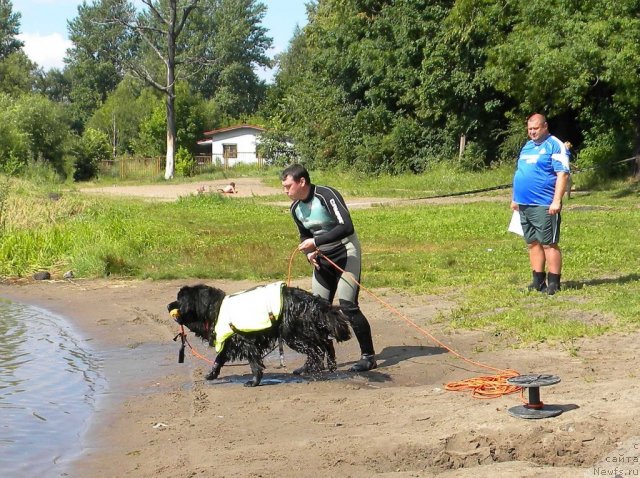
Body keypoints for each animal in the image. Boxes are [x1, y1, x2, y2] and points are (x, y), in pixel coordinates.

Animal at [166, 282, 350, 386]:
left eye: (179, 300)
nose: (168, 306)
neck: (214, 309)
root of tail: (314, 302)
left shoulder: (245, 342)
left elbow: (254, 364)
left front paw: (254, 382)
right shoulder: (229, 341)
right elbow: (218, 359)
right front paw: (211, 374)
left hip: (294, 335)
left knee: (316, 351)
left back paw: (310, 369)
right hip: (306, 331)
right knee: (326, 344)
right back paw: (329, 366)